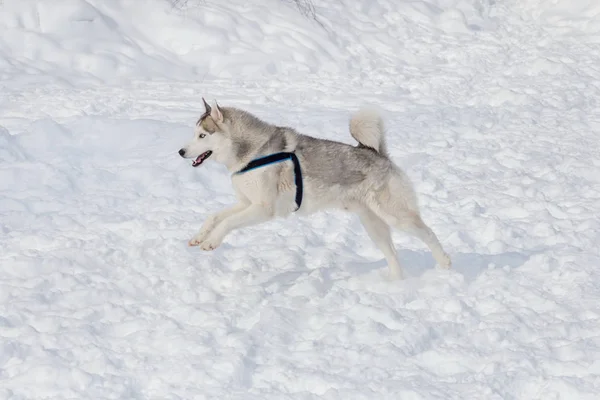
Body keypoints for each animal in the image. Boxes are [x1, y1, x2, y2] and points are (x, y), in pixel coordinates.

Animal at [178, 99, 450, 280]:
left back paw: (445, 264)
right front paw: (199, 237)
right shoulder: (246, 204)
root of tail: (379, 153)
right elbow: (214, 216)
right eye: (194, 133)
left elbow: (226, 223)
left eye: (202, 135)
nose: (181, 151)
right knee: (392, 254)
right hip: (374, 225)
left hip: (395, 215)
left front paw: (211, 242)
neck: (254, 153)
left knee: (429, 234)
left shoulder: (263, 209)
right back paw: (394, 283)